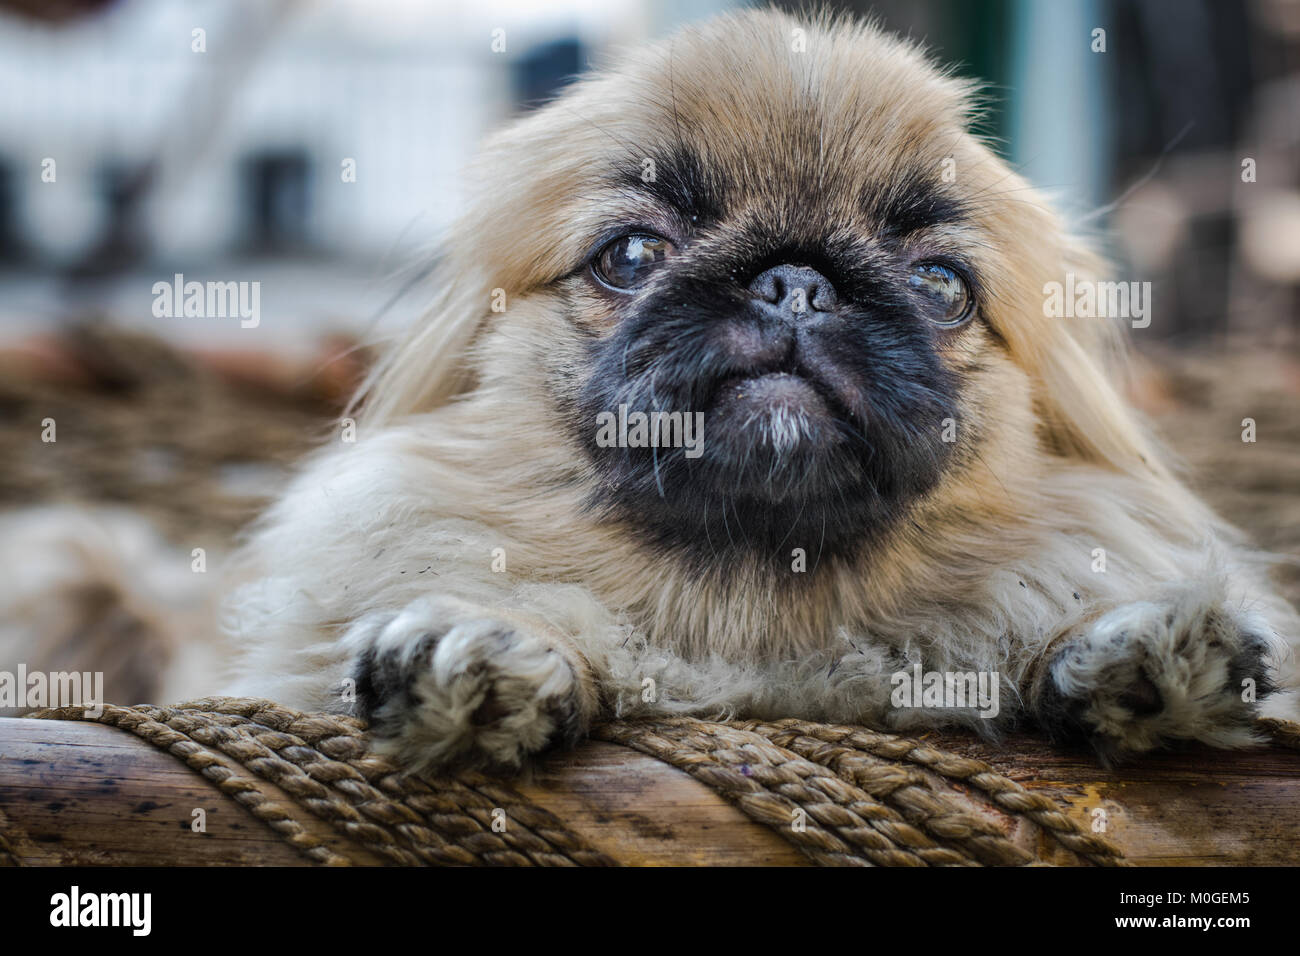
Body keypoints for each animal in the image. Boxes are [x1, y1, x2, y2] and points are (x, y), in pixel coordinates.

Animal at [223, 9, 1300, 770]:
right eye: (631, 254)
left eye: (940, 285)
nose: (796, 283)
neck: (750, 609)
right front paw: (493, 644)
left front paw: (1125, 646)